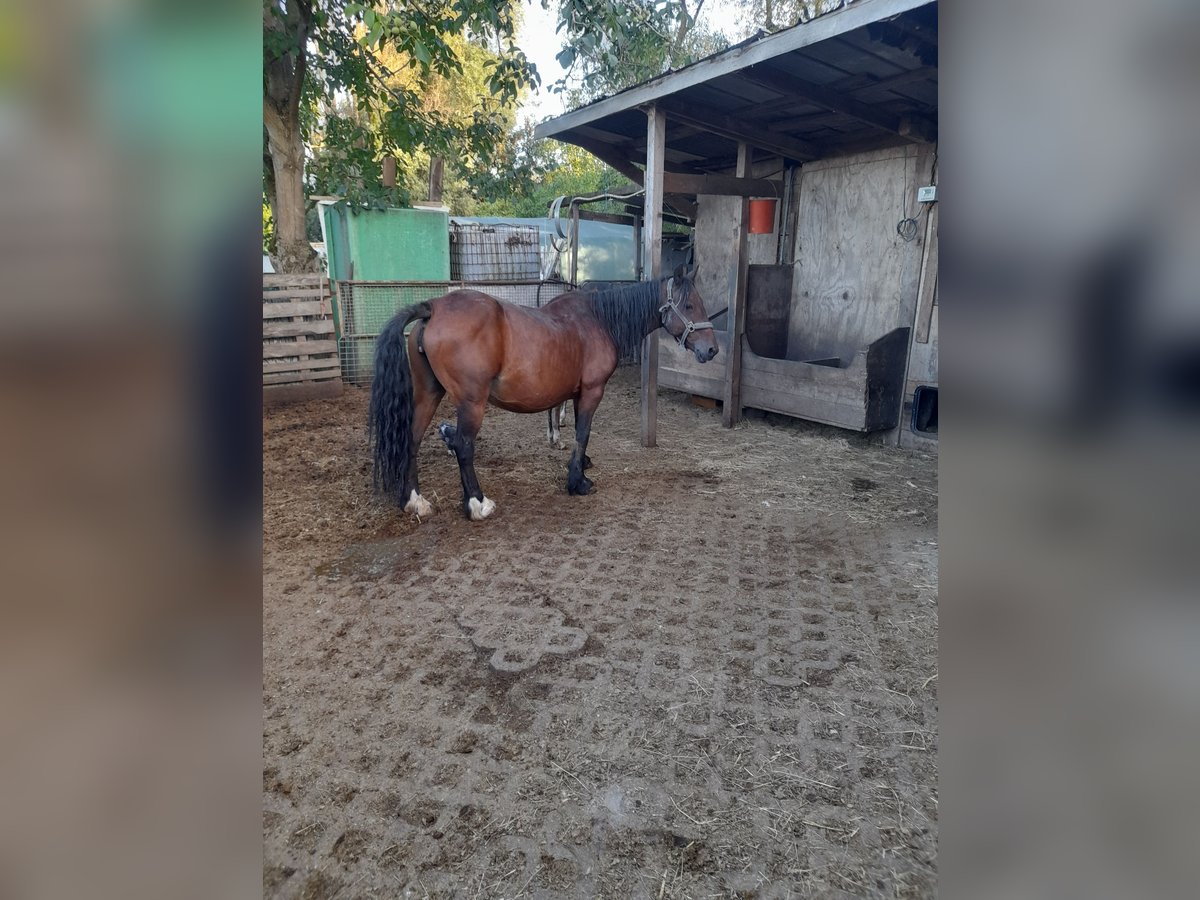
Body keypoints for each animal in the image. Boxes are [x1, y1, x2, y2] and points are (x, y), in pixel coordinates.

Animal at [368, 266, 717, 521]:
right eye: (689, 305)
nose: (711, 349)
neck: (598, 320)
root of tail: (433, 308)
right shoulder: (592, 391)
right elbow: (583, 432)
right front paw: (577, 482)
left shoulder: (577, 394)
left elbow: (578, 433)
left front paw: (581, 465)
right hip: (471, 403)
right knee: (463, 447)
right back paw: (477, 504)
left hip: (428, 394)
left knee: (411, 440)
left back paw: (414, 501)